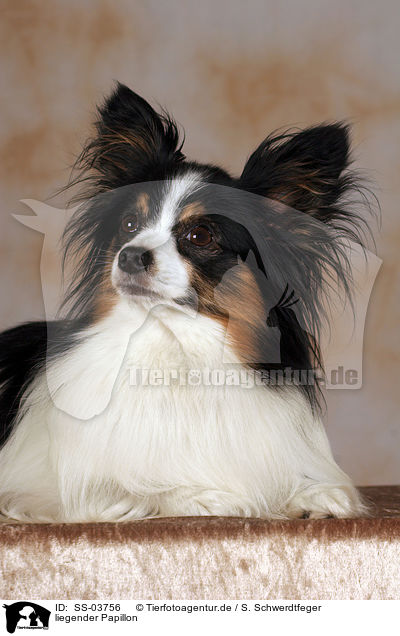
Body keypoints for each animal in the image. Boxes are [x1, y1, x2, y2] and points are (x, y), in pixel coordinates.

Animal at [0, 83, 370, 522]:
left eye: (200, 236)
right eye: (129, 225)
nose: (129, 255)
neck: (176, 345)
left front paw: (314, 496)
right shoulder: (47, 491)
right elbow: (138, 489)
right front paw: (207, 495)